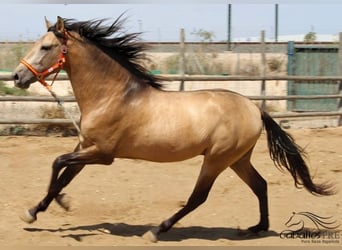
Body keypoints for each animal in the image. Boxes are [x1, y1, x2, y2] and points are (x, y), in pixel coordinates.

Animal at [11, 16, 334, 242]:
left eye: (46, 47)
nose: (17, 76)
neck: (113, 96)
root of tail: (255, 108)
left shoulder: (102, 154)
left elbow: (57, 163)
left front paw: (43, 209)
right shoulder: (84, 147)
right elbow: (64, 175)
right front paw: (42, 208)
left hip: (217, 159)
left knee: (198, 197)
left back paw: (157, 231)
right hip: (238, 159)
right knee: (260, 185)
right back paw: (257, 227)